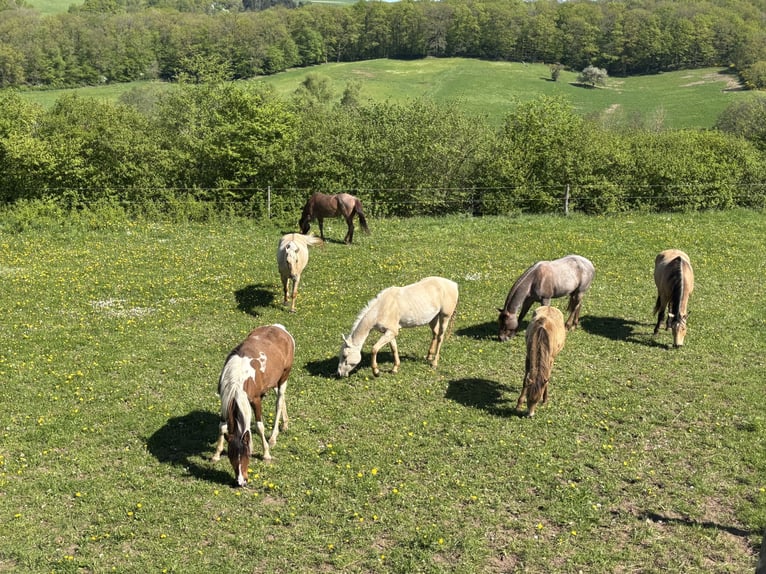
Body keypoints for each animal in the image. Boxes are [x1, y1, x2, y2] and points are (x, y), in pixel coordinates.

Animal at [211, 324, 295, 487]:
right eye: (230, 456)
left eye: (247, 455)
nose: (241, 482)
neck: (237, 381)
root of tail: (280, 328)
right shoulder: (225, 400)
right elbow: (222, 427)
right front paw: (216, 454)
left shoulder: (255, 400)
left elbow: (259, 426)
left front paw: (266, 453)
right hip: (273, 382)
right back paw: (285, 423)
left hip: (284, 376)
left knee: (279, 401)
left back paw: (273, 437)